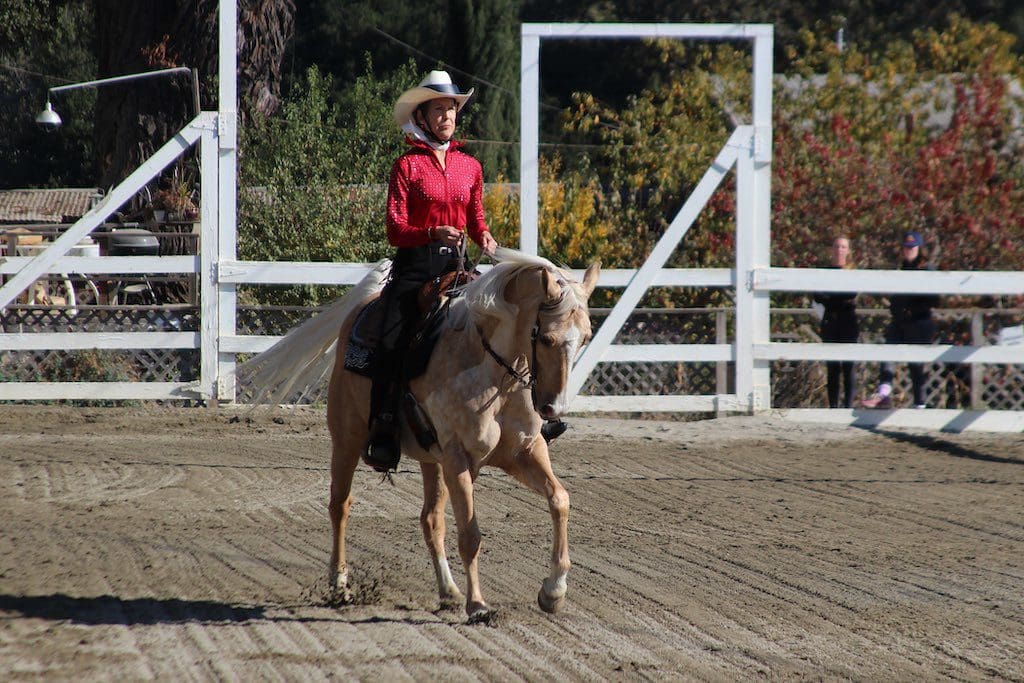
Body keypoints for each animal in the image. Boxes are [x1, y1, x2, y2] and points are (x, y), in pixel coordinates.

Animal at [239, 248, 598, 622]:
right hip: (347, 441)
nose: (553, 409)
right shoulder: (458, 458)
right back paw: (340, 585)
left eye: (586, 338)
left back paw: (448, 590)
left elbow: (559, 500)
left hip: (432, 461)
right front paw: (478, 605)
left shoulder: (524, 452)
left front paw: (553, 592)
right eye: (546, 338)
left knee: (430, 520)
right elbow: (470, 535)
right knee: (340, 506)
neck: (493, 372)